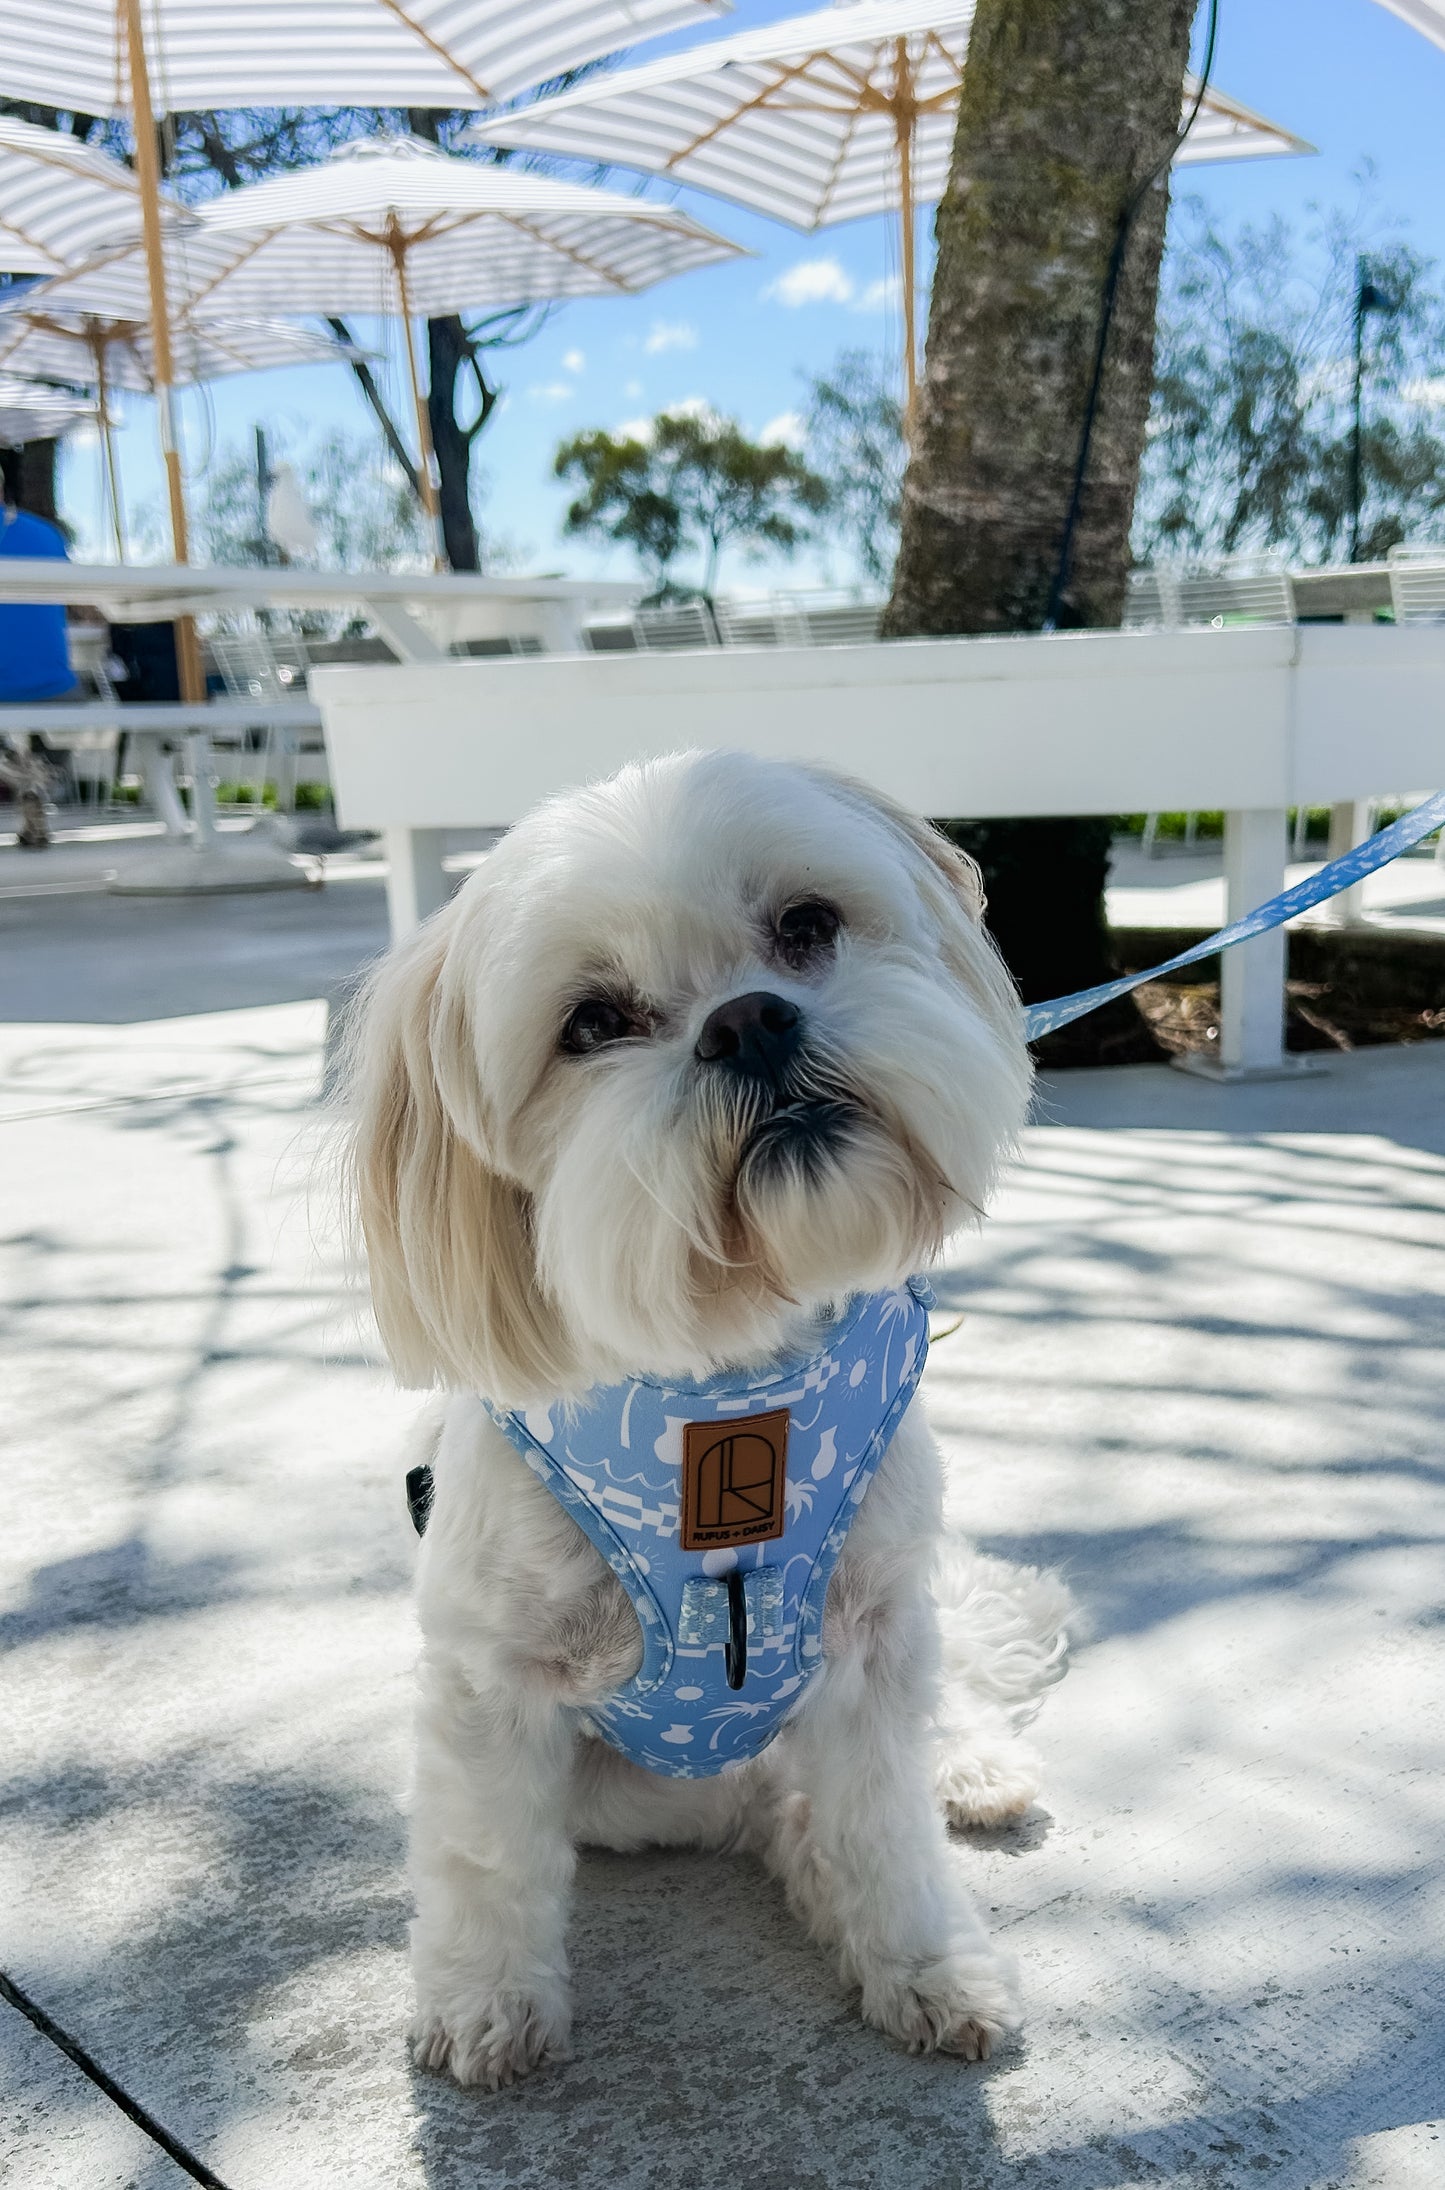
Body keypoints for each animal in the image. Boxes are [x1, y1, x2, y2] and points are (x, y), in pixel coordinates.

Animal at [334, 748, 1059, 2084]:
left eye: (806, 926)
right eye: (591, 1022)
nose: (749, 1019)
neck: (727, 1381)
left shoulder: (865, 1652)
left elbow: (883, 1830)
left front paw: (922, 1958)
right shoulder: (488, 1683)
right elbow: (485, 1857)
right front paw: (483, 2001)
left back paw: (969, 1767)